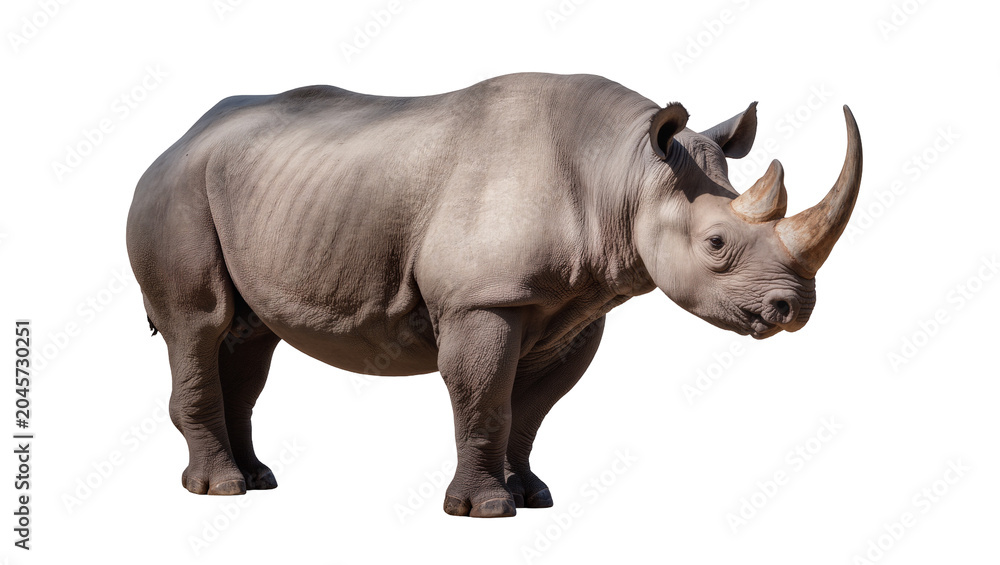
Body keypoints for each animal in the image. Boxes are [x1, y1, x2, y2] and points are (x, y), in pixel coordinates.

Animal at [126, 72, 861, 518]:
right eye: (715, 244)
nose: (794, 309)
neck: (624, 173)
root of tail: (176, 139)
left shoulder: (573, 309)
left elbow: (528, 410)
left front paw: (532, 494)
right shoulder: (483, 300)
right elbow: (483, 397)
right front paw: (484, 509)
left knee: (250, 338)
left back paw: (258, 479)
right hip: (175, 193)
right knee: (198, 325)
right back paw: (220, 489)